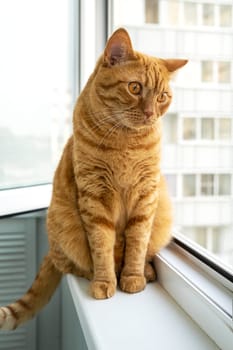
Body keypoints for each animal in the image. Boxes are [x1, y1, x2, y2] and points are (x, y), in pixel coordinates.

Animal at [0, 28, 187, 330]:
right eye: (134, 88)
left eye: (162, 97)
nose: (150, 113)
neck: (125, 141)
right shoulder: (95, 196)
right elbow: (101, 246)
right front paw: (104, 280)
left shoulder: (146, 195)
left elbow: (138, 243)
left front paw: (133, 277)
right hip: (63, 224)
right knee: (71, 264)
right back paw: (91, 273)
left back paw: (146, 271)